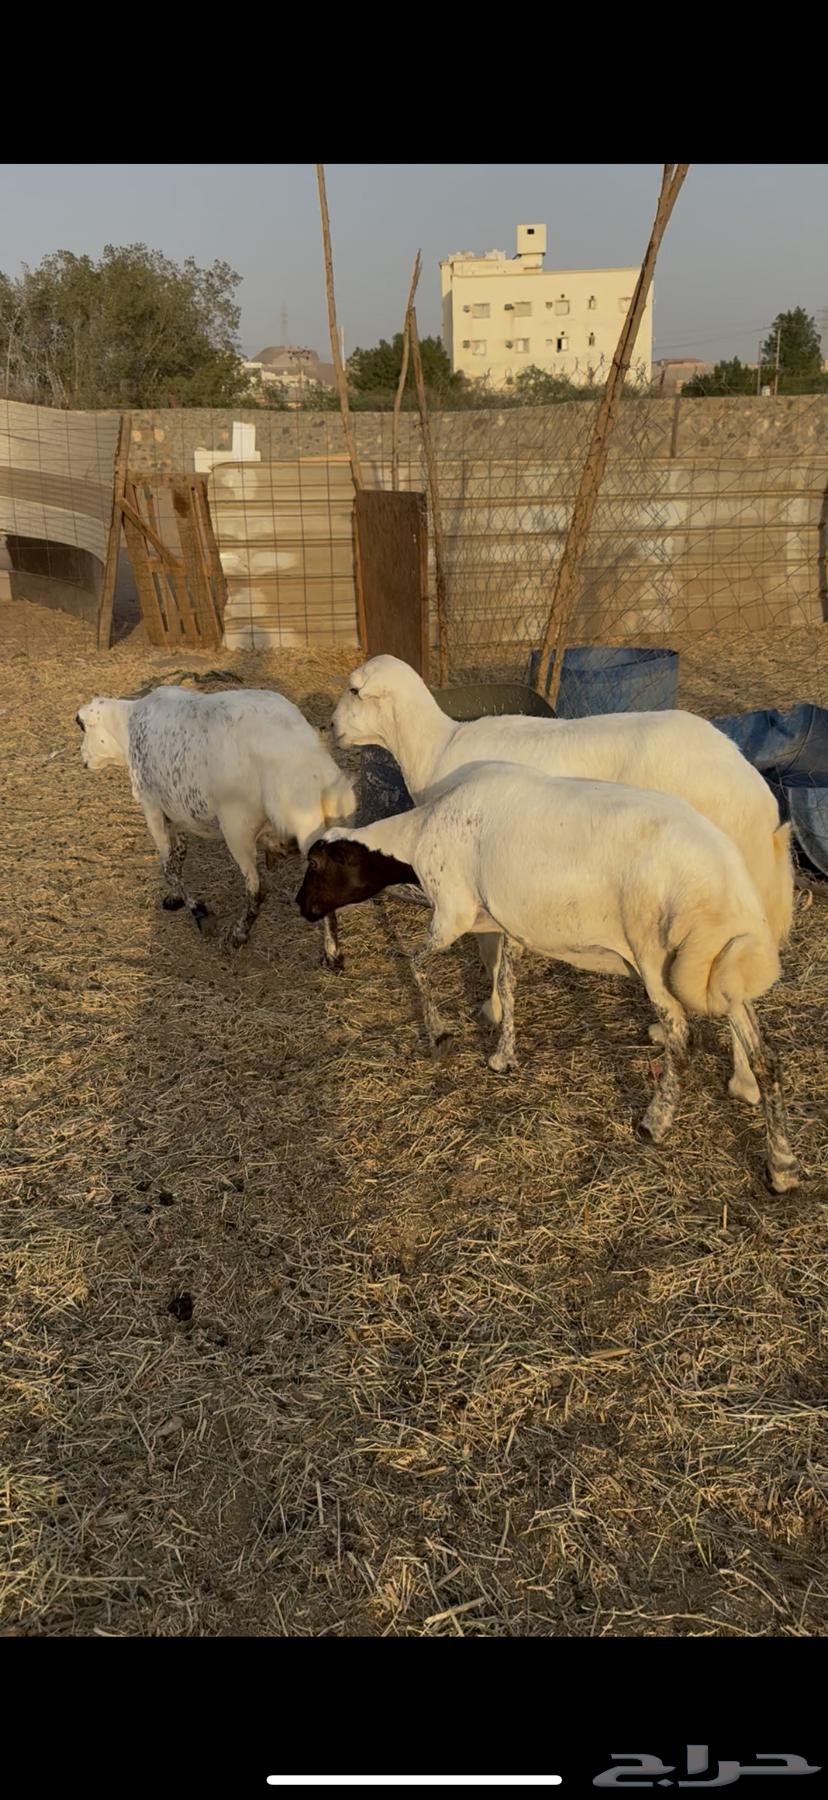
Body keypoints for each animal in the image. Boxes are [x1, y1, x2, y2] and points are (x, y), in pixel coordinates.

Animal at [76, 684, 356, 965]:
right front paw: (176, 898)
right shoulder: (177, 812)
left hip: (237, 828)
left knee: (257, 890)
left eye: (83, 728)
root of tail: (309, 763)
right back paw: (332, 954)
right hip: (313, 829)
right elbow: (178, 858)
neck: (129, 725)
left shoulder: (151, 806)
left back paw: (237, 936)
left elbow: (168, 867)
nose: (82, 758)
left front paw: (200, 914)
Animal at [296, 762, 799, 1194]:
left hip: (656, 957)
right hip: (722, 966)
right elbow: (506, 982)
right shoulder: (509, 924)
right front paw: (504, 1055)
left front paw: (440, 1035)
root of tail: (727, 882)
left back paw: (655, 1123)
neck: (417, 838)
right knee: (765, 1058)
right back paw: (781, 1167)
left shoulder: (452, 912)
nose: (301, 907)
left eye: (316, 865)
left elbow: (417, 964)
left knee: (681, 1038)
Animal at [331, 654, 794, 1107]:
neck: (433, 748)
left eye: (354, 690)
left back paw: (743, 1081)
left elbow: (489, 954)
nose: (331, 728)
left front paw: (493, 1012)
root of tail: (758, 793)